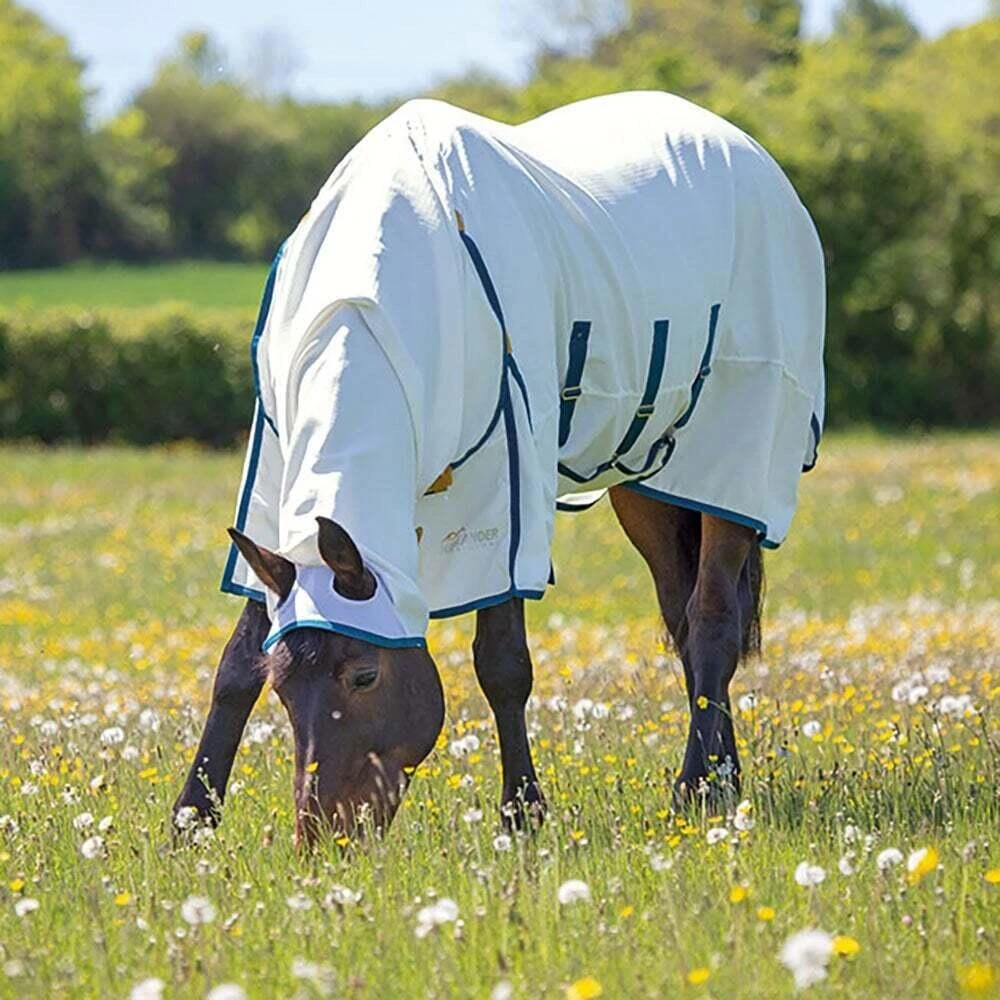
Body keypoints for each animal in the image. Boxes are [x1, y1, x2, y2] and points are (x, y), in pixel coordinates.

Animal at [172, 92, 825, 846]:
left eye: (364, 676)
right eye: (283, 685)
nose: (325, 835)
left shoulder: (501, 495)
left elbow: (503, 665)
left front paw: (523, 813)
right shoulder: (275, 507)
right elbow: (234, 664)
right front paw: (189, 823)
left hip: (734, 459)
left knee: (714, 618)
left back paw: (697, 791)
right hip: (650, 491)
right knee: (686, 622)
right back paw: (724, 780)